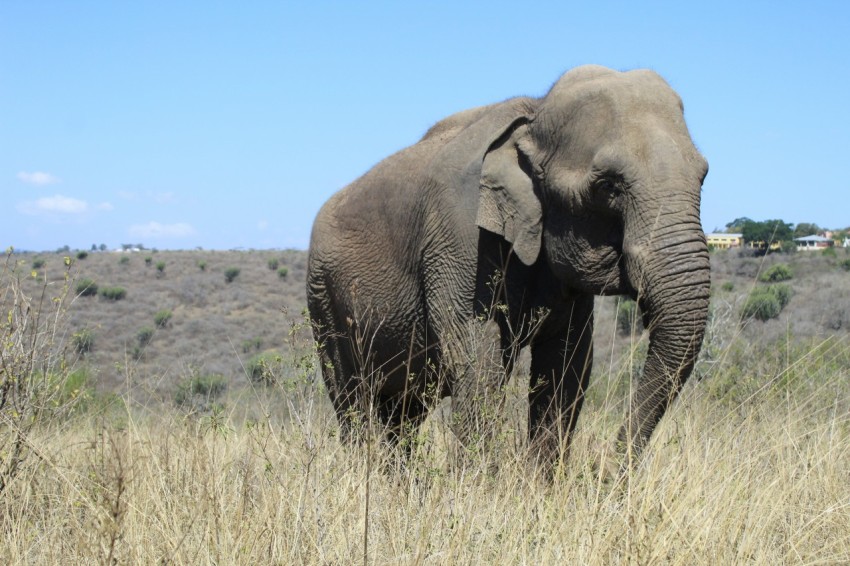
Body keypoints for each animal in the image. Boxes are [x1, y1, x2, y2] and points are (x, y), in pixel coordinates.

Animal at [306, 65, 708, 470]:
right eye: (608, 186)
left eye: (703, 176)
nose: (605, 469)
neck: (535, 115)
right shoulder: (458, 236)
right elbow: (477, 361)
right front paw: (479, 483)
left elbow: (567, 364)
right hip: (322, 298)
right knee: (353, 399)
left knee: (404, 412)